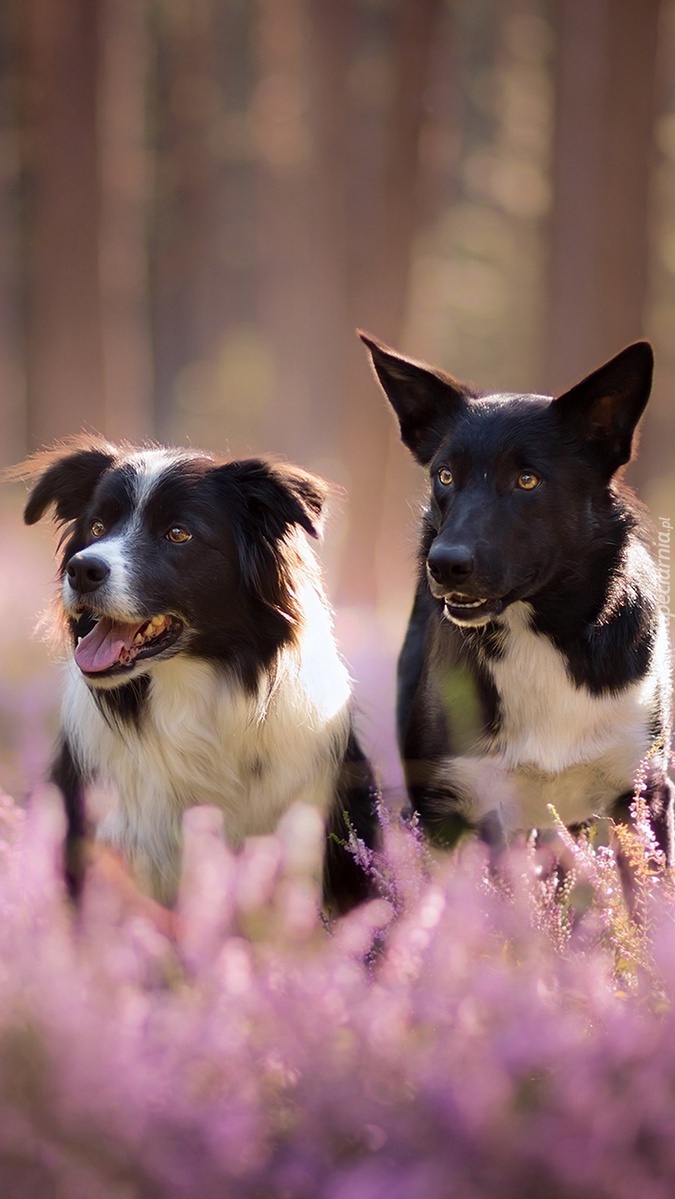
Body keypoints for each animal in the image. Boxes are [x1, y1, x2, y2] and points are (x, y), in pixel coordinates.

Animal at [364, 333, 675, 858]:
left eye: (527, 480)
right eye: (445, 475)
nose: (444, 564)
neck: (538, 632)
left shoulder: (644, 796)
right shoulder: (449, 804)